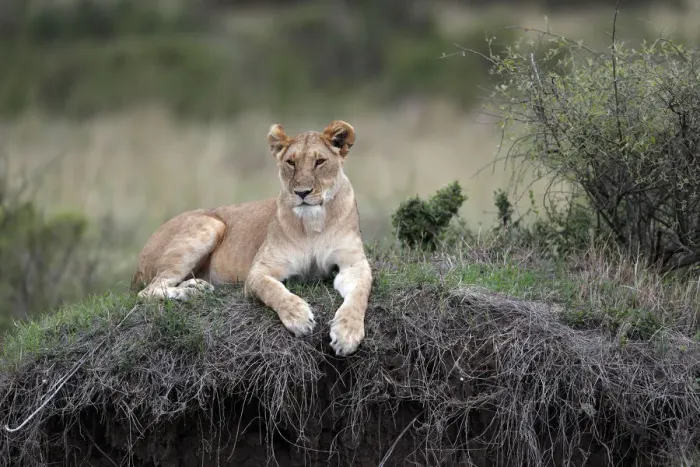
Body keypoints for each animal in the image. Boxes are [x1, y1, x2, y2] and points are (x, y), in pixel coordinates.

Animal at [130, 120, 372, 356]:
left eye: (320, 161)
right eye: (291, 163)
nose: (302, 193)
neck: (313, 223)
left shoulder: (353, 265)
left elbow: (359, 294)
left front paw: (347, 334)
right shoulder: (259, 270)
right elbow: (273, 290)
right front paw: (299, 317)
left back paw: (196, 286)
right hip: (211, 225)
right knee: (147, 291)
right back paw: (190, 293)